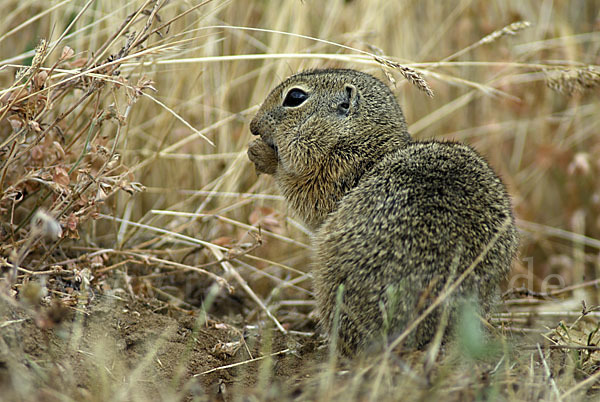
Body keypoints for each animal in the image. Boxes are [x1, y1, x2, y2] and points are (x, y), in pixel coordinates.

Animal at [246, 70, 516, 358]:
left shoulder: (333, 175)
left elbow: (304, 195)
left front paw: (261, 154)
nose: (253, 126)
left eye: (295, 97)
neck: (363, 141)